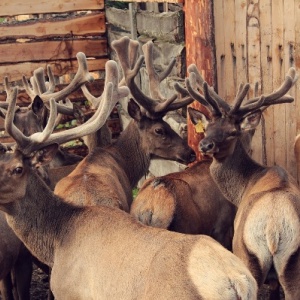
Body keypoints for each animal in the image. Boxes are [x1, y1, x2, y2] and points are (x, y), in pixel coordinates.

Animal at [0, 83, 258, 298]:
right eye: (160, 130)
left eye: (18, 169)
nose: (190, 152)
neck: (56, 242)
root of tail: (236, 283)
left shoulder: (70, 293)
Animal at [186, 63, 298, 300]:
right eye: (207, 128)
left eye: (231, 132)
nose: (205, 145)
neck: (245, 185)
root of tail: (273, 227)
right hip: (293, 262)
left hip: (245, 254)